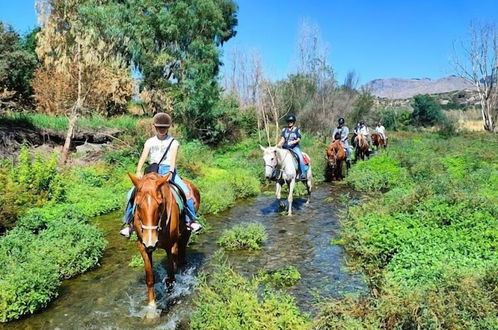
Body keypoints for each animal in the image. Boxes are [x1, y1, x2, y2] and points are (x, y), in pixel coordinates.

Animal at [127, 171, 199, 318]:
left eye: (160, 205)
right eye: (137, 205)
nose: (151, 243)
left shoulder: (170, 247)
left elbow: (171, 278)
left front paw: (171, 299)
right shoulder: (143, 247)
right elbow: (150, 278)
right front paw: (151, 309)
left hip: (186, 232)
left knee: (182, 254)